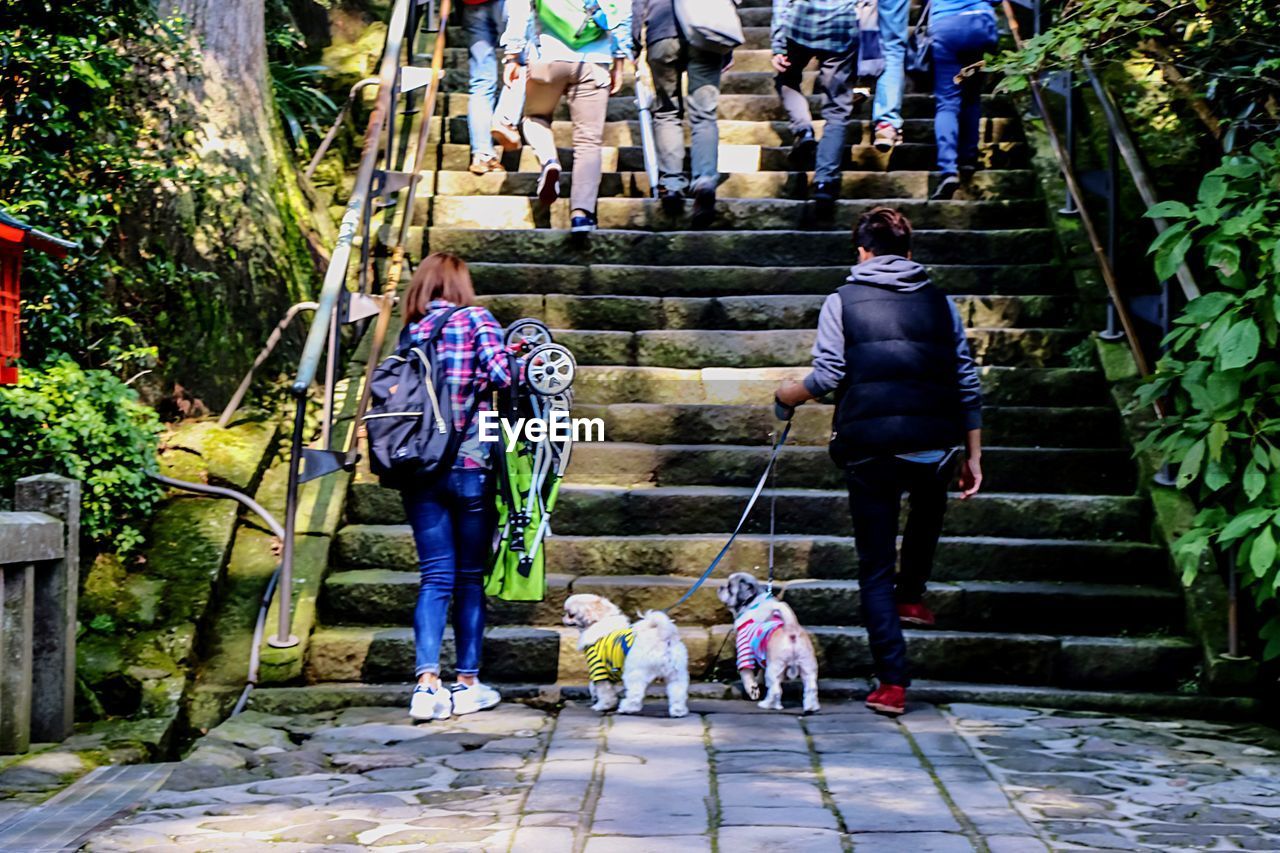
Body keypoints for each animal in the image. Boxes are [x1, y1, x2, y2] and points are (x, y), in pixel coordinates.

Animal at [565, 591, 696, 717]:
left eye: (570, 614)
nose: (564, 618)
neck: (601, 621)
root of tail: (661, 636)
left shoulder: (598, 669)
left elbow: (604, 692)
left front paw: (601, 706)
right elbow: (595, 686)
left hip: (635, 673)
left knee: (635, 694)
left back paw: (627, 708)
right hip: (676, 674)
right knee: (678, 693)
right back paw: (678, 711)